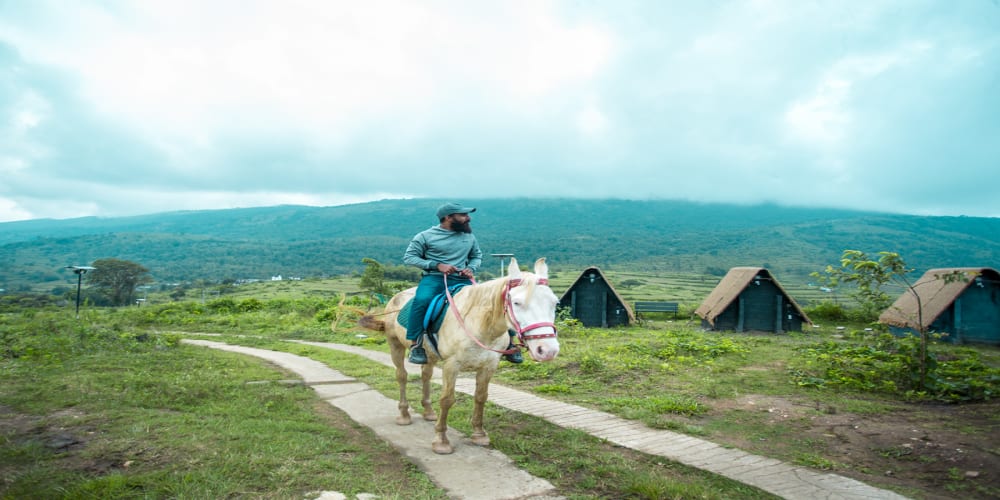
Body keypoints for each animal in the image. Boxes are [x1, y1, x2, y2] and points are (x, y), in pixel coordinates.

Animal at [360, 258, 564, 454]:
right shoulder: (452, 365)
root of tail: (395, 298)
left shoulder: (489, 365)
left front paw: (479, 434)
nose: (547, 350)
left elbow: (481, 397)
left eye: (555, 303)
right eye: (516, 303)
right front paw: (441, 441)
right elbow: (447, 400)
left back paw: (428, 412)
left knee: (426, 375)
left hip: (429, 355)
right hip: (395, 345)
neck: (480, 325)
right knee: (402, 376)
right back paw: (404, 415)